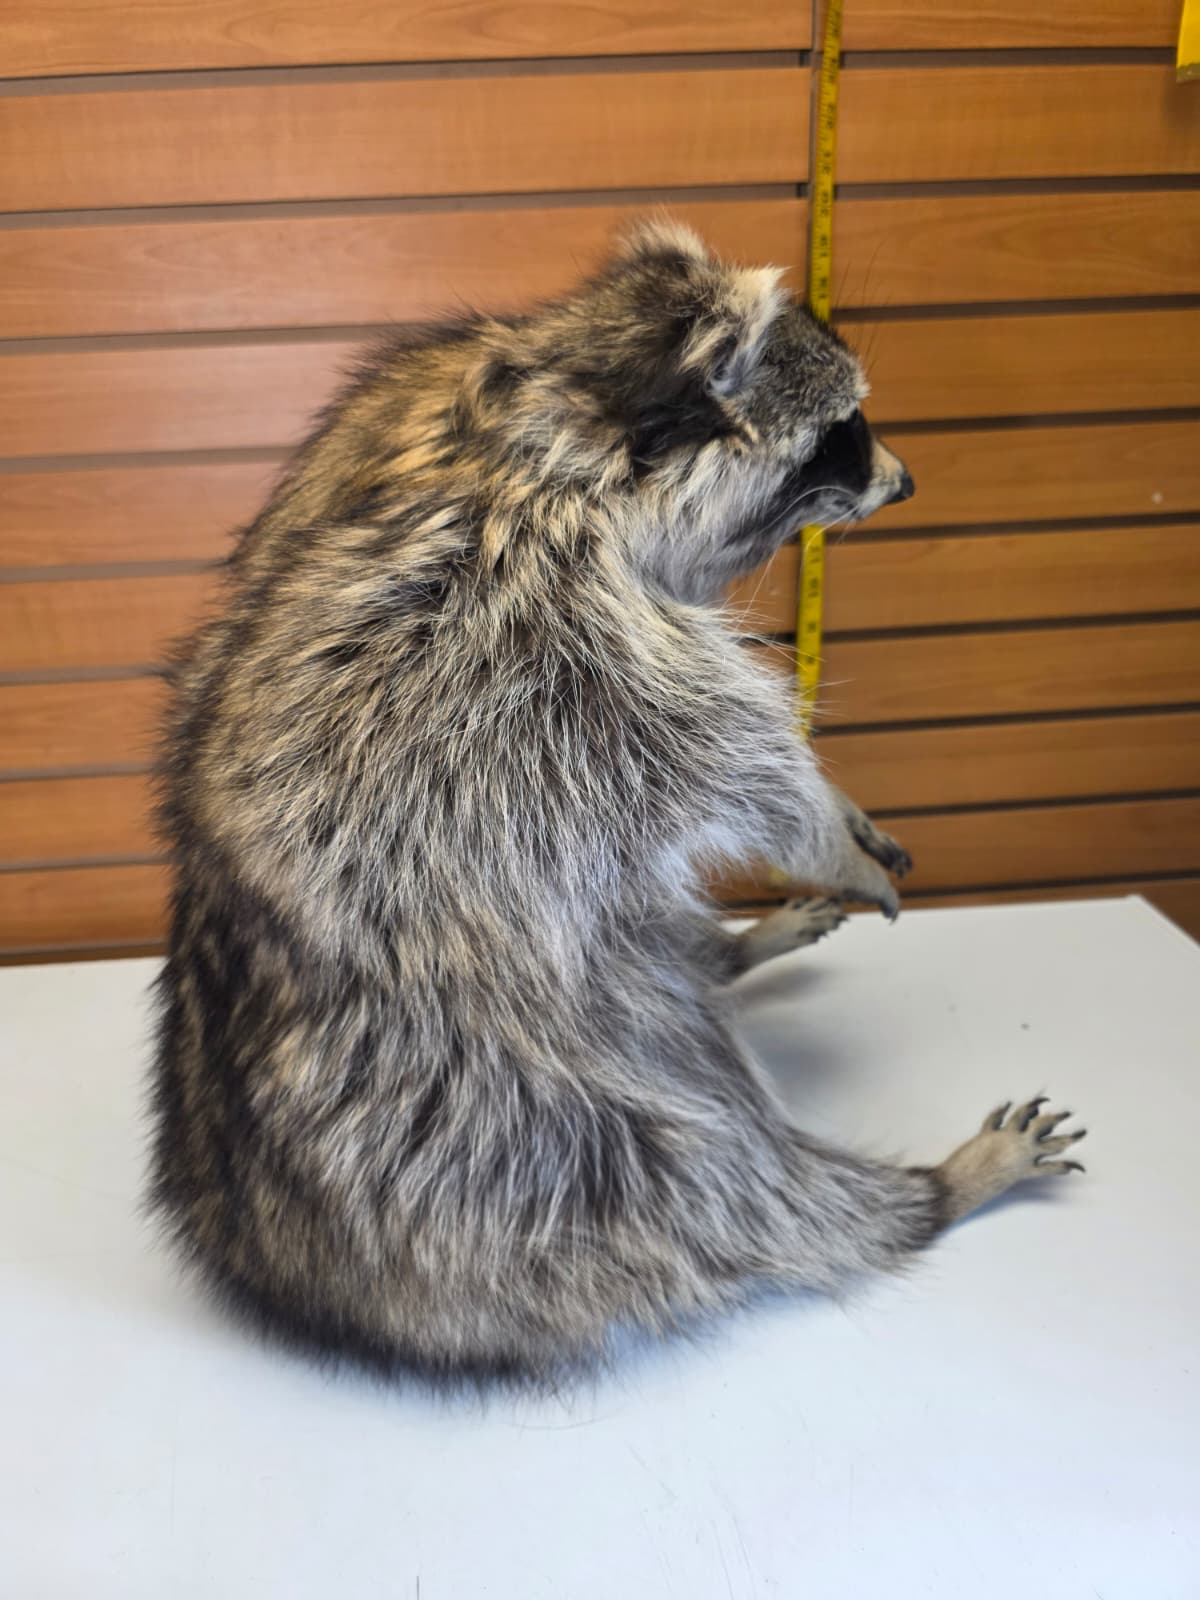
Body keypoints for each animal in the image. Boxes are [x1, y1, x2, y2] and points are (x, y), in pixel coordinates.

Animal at [149, 220, 1086, 1383]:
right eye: (842, 434)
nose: (908, 482)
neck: (560, 404)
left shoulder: (394, 413)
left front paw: (831, 818)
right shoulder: (537, 628)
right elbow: (732, 756)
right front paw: (822, 830)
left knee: (649, 929)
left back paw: (724, 952)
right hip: (504, 1115)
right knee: (725, 1176)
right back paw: (929, 1191)